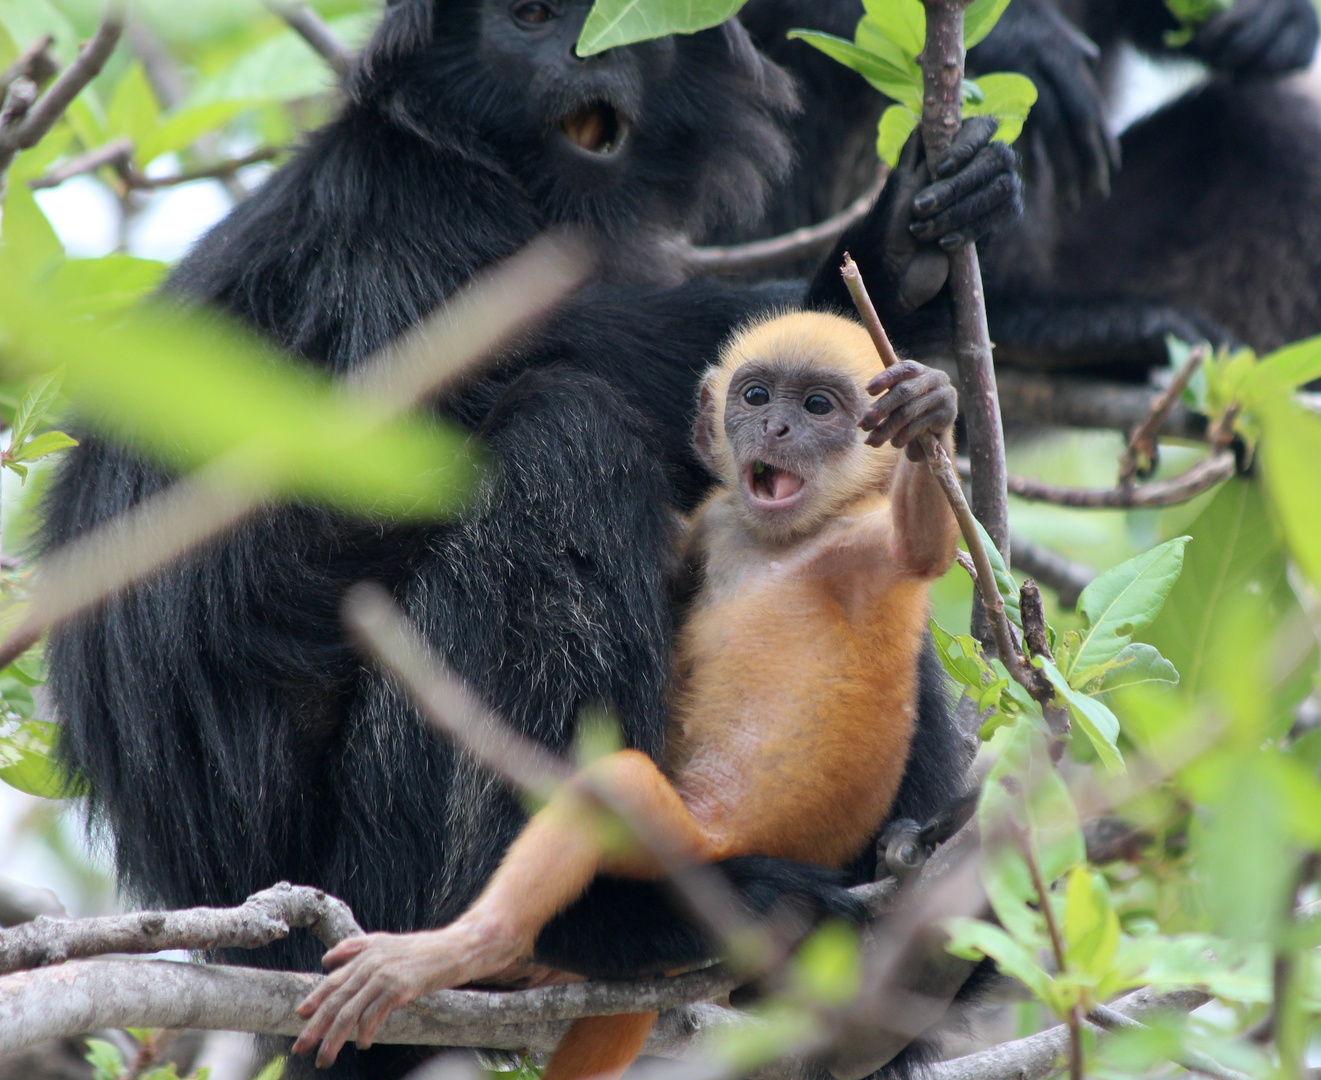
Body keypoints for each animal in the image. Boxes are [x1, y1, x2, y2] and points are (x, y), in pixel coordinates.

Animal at [294, 308, 961, 1066]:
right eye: (756, 397)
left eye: (819, 407)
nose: (776, 430)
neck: (783, 541)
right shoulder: (716, 522)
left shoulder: (857, 546)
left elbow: (919, 549)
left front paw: (928, 410)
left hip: (694, 852)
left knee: (610, 787)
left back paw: (463, 951)